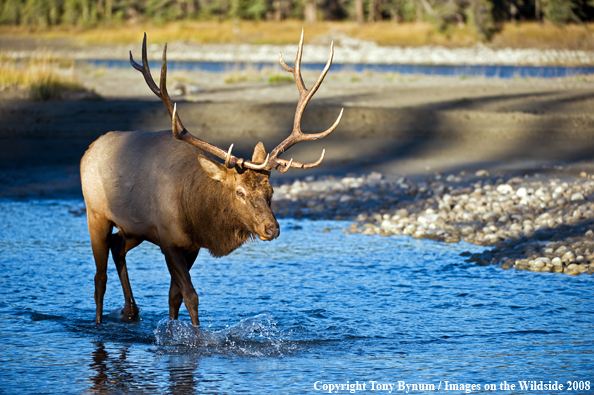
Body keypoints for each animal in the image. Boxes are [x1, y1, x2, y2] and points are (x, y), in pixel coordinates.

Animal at [80, 31, 342, 328]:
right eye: (239, 192)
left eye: (271, 192)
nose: (272, 229)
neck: (194, 211)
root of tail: (88, 150)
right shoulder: (168, 239)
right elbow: (190, 295)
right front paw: (194, 334)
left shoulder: (190, 245)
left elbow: (175, 297)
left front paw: (174, 329)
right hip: (96, 213)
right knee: (99, 278)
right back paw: (99, 322)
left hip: (134, 228)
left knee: (117, 247)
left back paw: (131, 310)